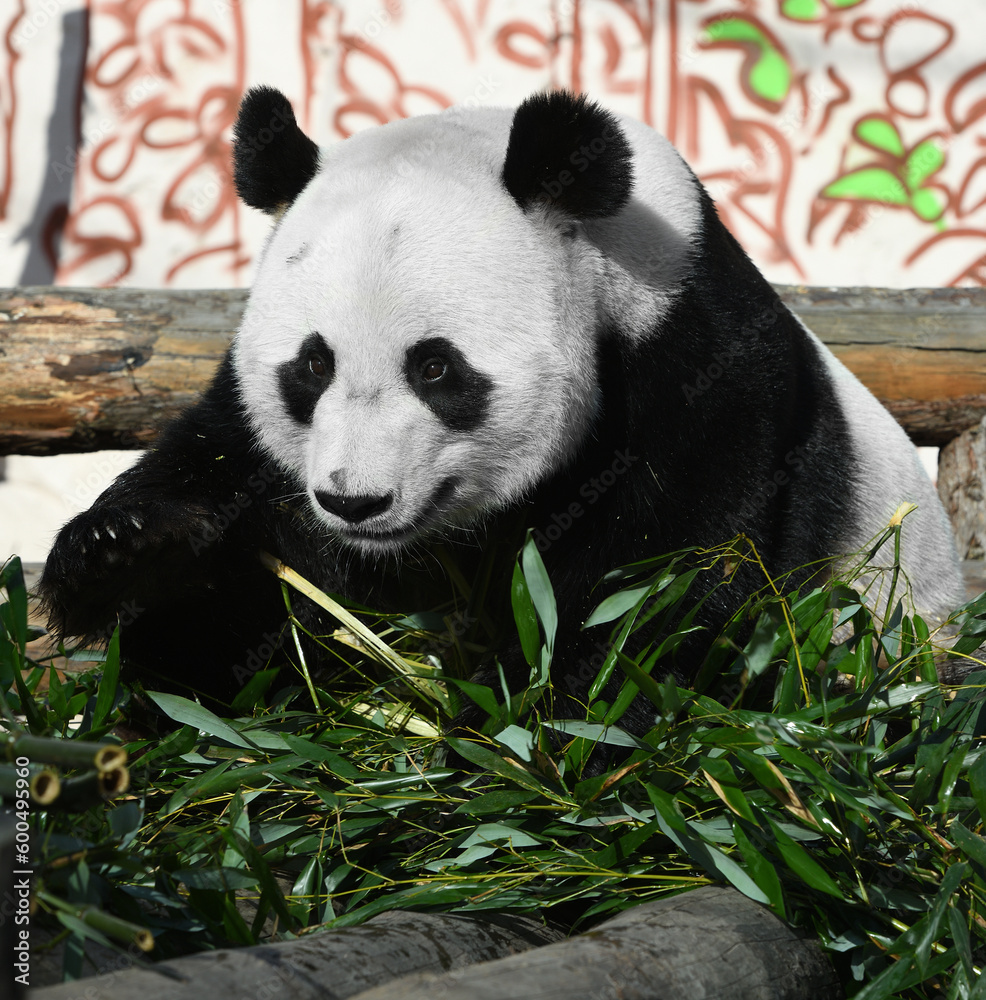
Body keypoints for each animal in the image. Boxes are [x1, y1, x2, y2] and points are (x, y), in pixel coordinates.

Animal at [40, 86, 965, 739]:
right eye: (312, 365)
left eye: (436, 367)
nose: (354, 501)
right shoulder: (262, 447)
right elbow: (240, 570)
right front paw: (116, 553)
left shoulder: (700, 376)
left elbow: (670, 579)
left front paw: (531, 714)